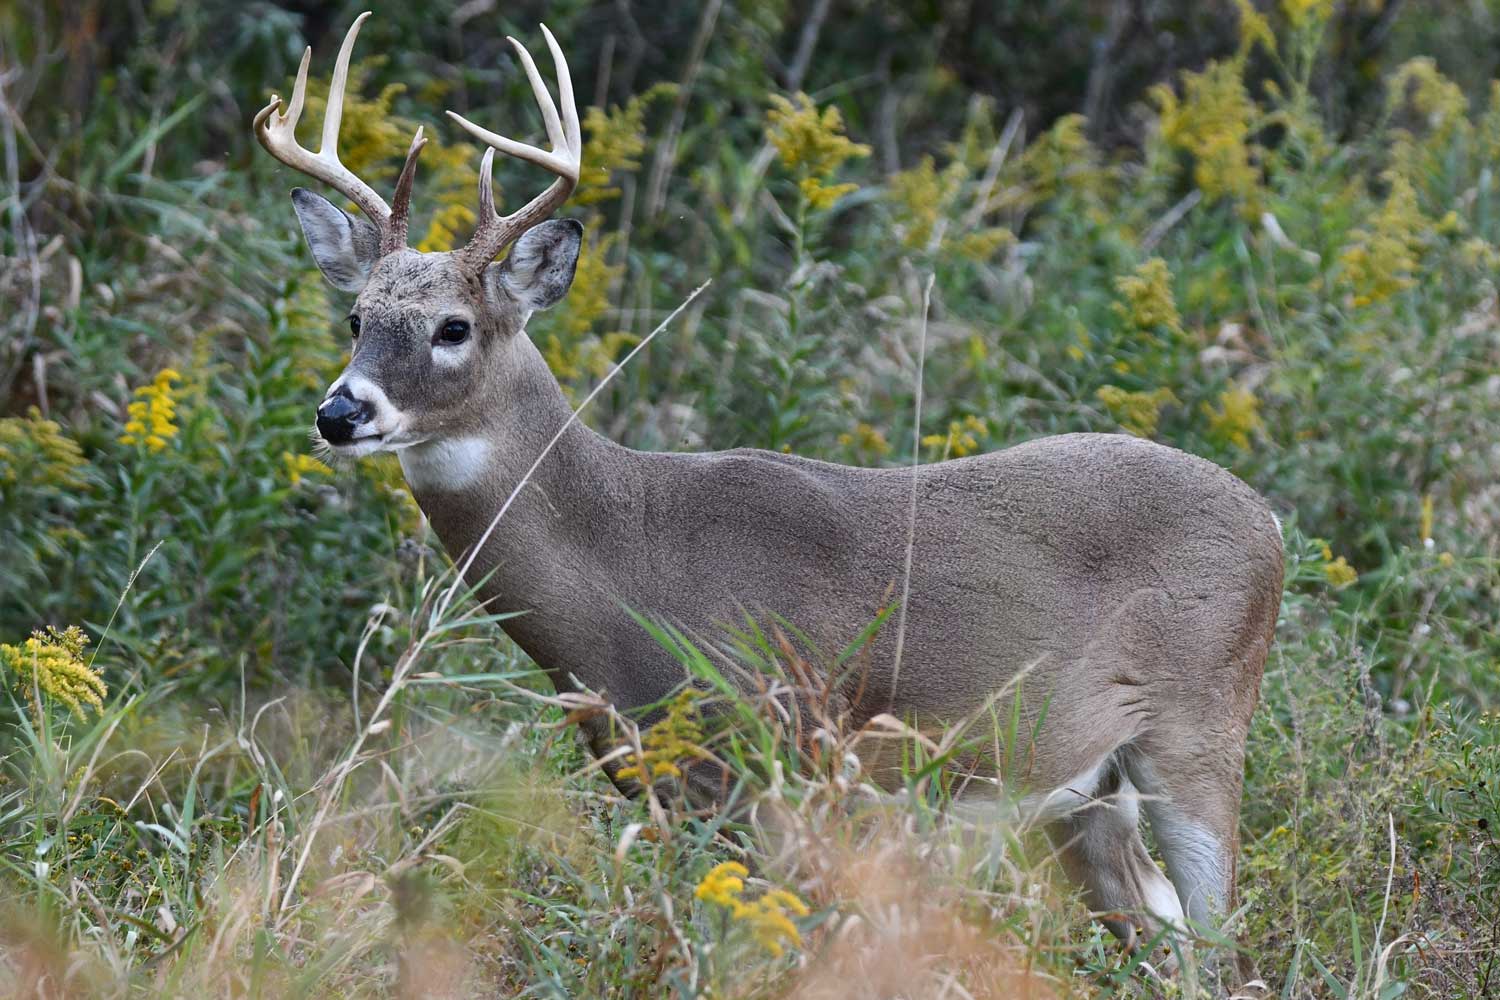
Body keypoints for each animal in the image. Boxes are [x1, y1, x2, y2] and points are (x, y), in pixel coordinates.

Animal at [255, 11, 1278, 971]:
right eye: (356, 317)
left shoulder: (788, 757)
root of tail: (1269, 519)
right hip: (1084, 786)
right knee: (1162, 929)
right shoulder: (672, 785)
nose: (339, 412)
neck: (628, 569)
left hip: (1200, 726)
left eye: (453, 327)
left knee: (1220, 935)